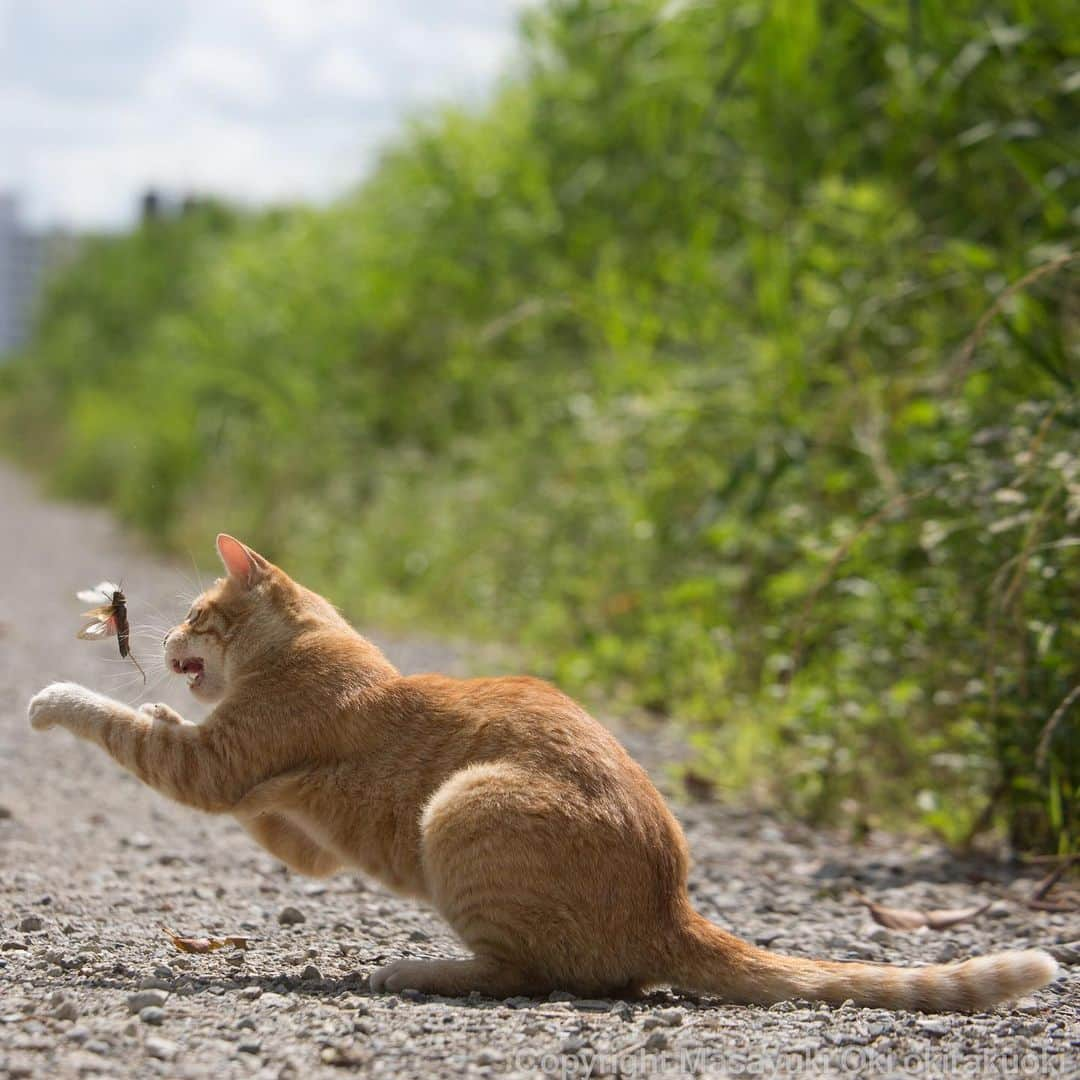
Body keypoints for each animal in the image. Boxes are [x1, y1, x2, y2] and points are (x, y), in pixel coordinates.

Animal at [29, 535, 1058, 1006]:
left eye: (197, 612)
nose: (162, 639)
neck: (308, 651)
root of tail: (669, 910)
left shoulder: (210, 766)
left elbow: (115, 725)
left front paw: (55, 698)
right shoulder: (287, 827)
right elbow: (253, 795)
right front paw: (155, 703)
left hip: (463, 810)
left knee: (522, 975)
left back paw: (414, 966)